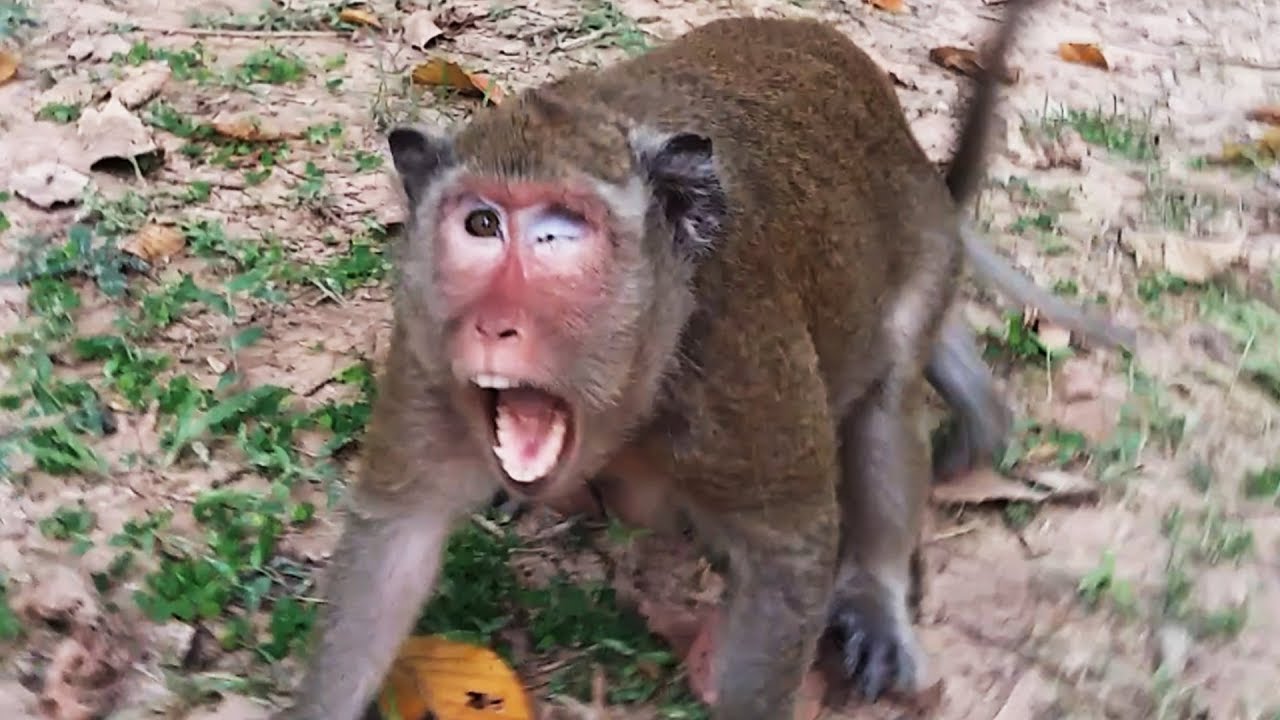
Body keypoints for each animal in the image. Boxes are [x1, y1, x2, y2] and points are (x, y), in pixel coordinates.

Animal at [276, 3, 1134, 719]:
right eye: (481, 224)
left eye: (558, 235)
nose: (496, 324)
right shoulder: (424, 351)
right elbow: (397, 540)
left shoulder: (736, 372)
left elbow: (789, 549)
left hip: (916, 250)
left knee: (887, 399)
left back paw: (882, 582)